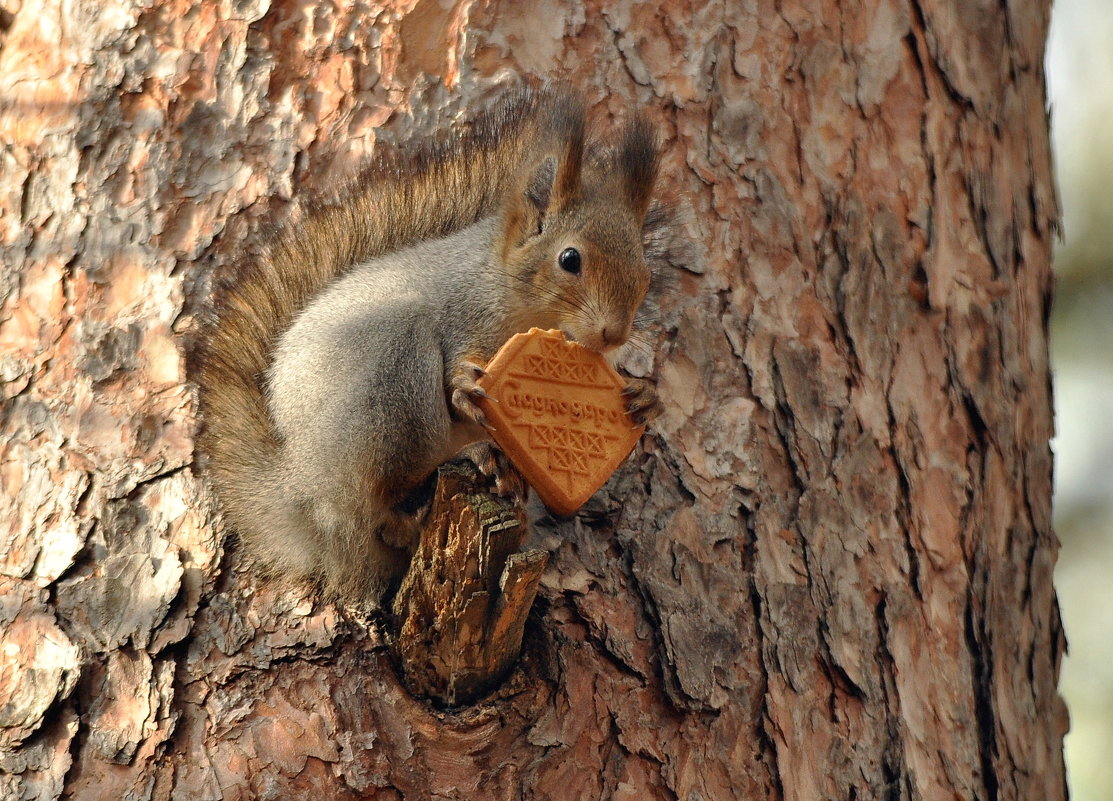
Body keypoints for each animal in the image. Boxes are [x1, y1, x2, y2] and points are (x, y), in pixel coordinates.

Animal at [191, 84, 672, 605]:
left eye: (644, 275)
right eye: (569, 259)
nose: (614, 334)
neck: (517, 301)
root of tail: (296, 482)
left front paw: (645, 397)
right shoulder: (462, 313)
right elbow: (457, 372)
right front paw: (463, 386)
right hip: (390, 379)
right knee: (376, 506)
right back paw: (459, 465)